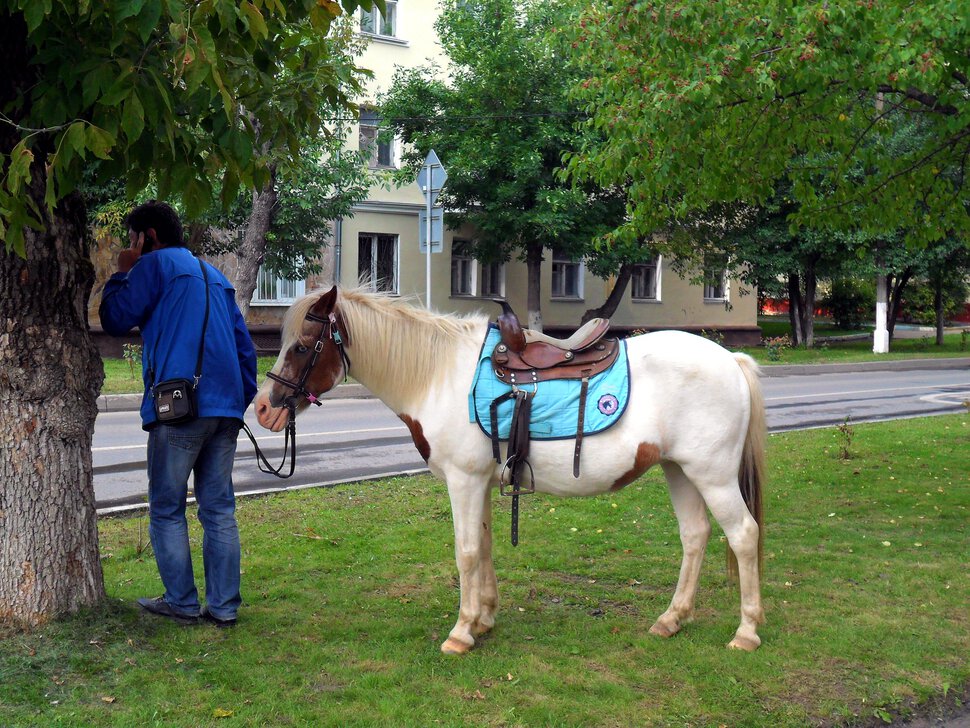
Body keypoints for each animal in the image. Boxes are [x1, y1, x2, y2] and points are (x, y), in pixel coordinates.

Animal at [253, 284, 768, 656]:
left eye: (302, 346)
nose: (262, 408)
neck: (439, 375)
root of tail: (731, 359)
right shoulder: (481, 481)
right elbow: (483, 545)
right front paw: (483, 619)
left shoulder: (463, 481)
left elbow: (465, 552)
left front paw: (461, 632)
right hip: (679, 470)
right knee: (695, 535)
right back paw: (672, 619)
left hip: (713, 476)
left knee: (743, 535)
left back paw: (746, 631)